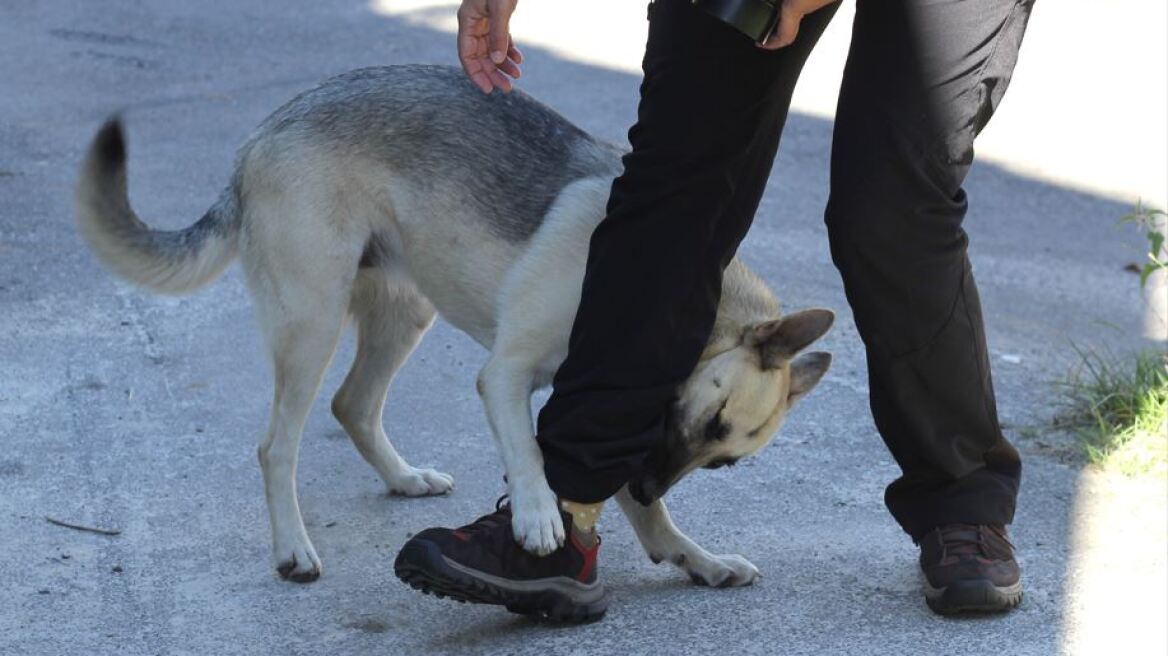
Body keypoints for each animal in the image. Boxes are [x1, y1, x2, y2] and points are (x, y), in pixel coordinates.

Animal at [75, 65, 831, 588]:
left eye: (723, 458)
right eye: (702, 417)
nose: (649, 484)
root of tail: (264, 131)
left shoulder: (607, 409)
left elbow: (640, 510)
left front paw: (695, 558)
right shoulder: (509, 377)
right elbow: (530, 455)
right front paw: (536, 516)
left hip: (404, 314)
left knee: (353, 406)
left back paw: (402, 479)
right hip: (313, 325)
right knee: (277, 448)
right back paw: (292, 547)